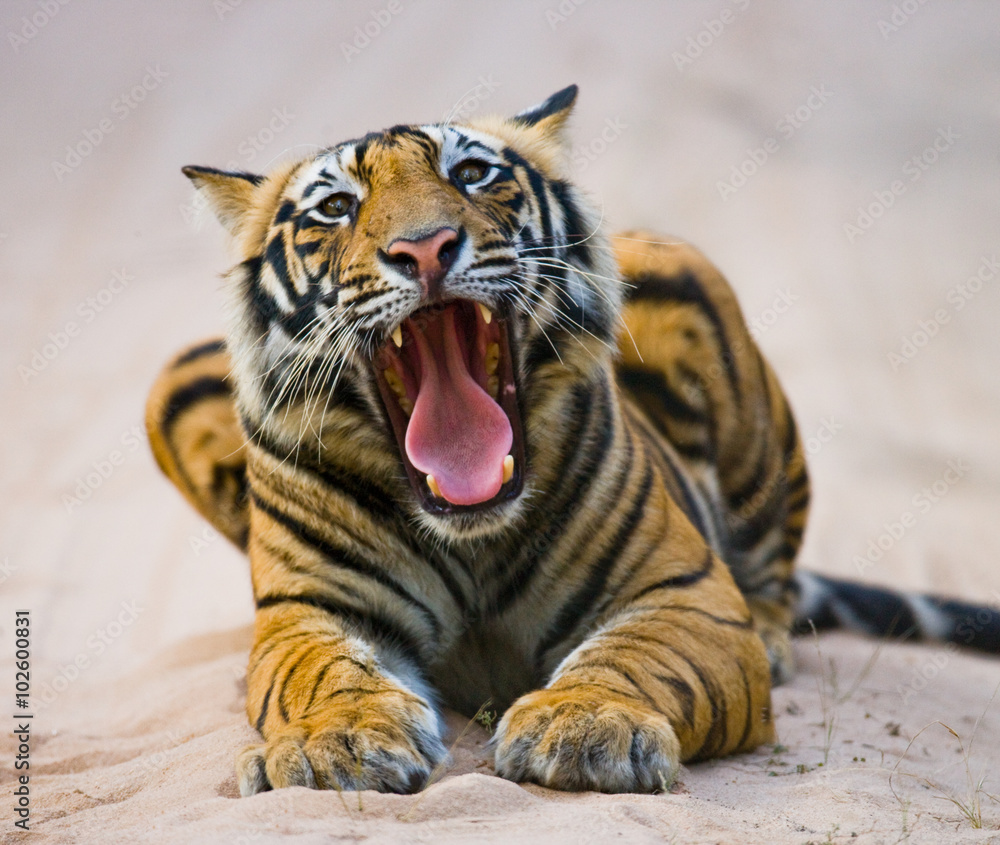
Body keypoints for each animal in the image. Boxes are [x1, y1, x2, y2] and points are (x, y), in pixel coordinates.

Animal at [146, 86, 1000, 795]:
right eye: (335, 207)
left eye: (473, 172)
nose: (424, 248)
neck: (470, 531)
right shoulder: (311, 610)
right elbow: (325, 675)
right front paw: (336, 744)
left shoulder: (681, 589)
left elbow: (640, 657)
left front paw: (587, 725)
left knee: (773, 577)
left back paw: (770, 639)